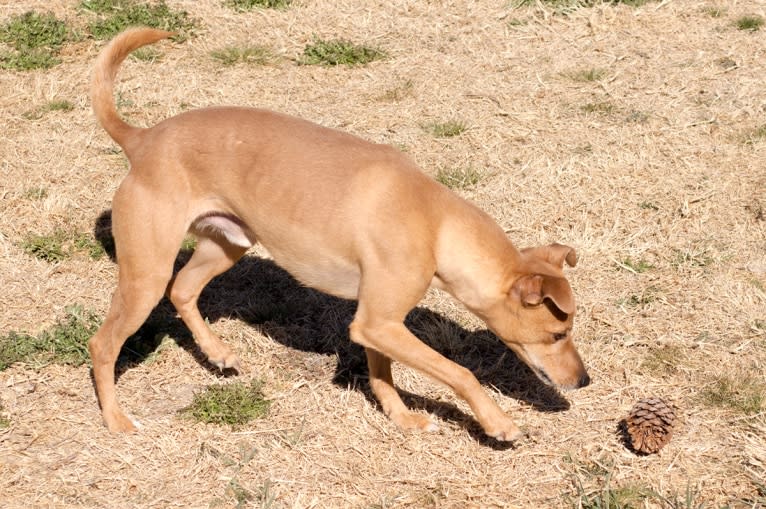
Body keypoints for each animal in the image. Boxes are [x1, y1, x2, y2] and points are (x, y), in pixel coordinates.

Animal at [91, 28, 592, 440]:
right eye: (557, 334)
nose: (584, 380)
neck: (435, 221)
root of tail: (142, 140)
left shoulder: (377, 323)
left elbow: (381, 373)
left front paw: (401, 418)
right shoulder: (380, 322)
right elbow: (460, 373)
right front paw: (498, 424)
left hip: (228, 244)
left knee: (183, 290)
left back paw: (218, 353)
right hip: (145, 275)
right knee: (105, 342)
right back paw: (115, 419)